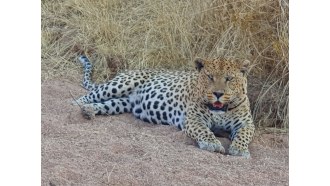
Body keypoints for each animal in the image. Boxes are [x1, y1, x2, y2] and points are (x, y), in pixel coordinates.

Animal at [73, 55, 255, 158]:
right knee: (87, 96)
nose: (218, 93)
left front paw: (239, 150)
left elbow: (244, 135)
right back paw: (77, 106)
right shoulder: (194, 119)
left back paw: (89, 111)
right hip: (120, 84)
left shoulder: (246, 123)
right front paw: (213, 144)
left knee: (106, 104)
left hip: (122, 103)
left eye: (229, 79)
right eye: (209, 77)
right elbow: (204, 131)